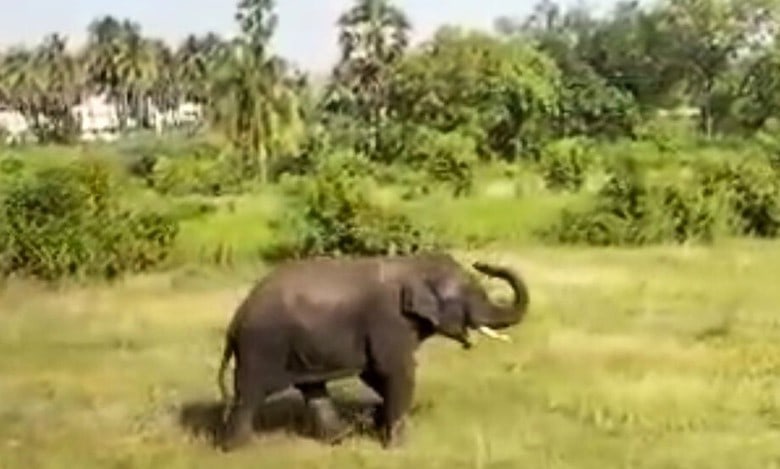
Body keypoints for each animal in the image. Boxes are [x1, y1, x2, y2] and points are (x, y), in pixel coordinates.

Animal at [215, 252, 529, 451]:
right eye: (469, 296)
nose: (481, 263)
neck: (414, 266)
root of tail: (235, 321)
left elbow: (375, 375)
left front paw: (378, 422)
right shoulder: (388, 321)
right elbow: (395, 372)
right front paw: (398, 446)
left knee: (313, 389)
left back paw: (339, 439)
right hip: (261, 347)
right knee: (248, 397)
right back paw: (237, 450)